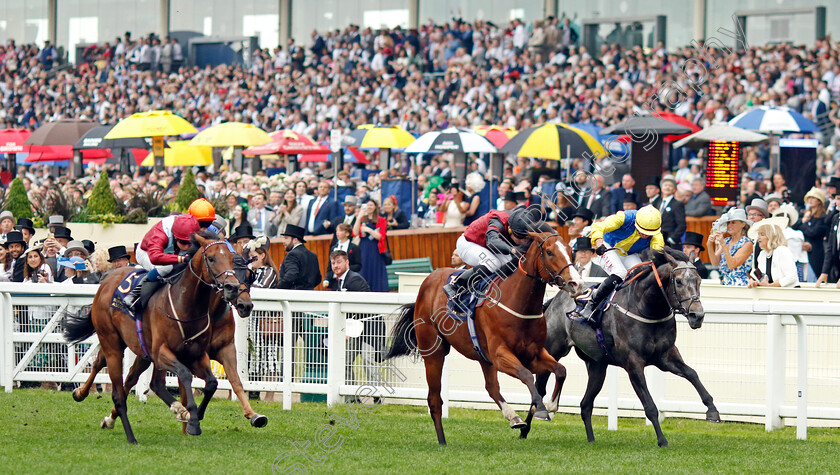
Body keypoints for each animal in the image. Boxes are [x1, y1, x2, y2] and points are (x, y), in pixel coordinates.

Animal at [62, 231, 248, 446]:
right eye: (211, 258)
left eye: (232, 258)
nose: (232, 287)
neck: (187, 305)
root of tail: (106, 280)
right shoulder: (161, 353)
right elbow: (185, 375)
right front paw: (192, 419)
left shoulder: (196, 355)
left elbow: (211, 383)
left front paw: (194, 416)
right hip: (113, 344)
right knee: (118, 393)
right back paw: (130, 436)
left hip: (135, 348)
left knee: (113, 368)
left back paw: (82, 395)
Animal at [388, 229, 584, 444]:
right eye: (549, 252)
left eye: (570, 251)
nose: (577, 283)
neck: (518, 303)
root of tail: (429, 279)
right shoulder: (500, 355)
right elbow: (526, 375)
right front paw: (540, 408)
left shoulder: (533, 355)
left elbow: (561, 370)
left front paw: (551, 406)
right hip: (434, 352)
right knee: (434, 399)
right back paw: (442, 441)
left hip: (483, 356)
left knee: (491, 387)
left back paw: (513, 417)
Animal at [540, 247, 720, 448]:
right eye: (679, 281)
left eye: (699, 280)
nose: (697, 315)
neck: (647, 309)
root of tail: (555, 300)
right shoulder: (633, 363)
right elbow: (650, 406)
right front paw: (662, 440)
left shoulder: (666, 357)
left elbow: (692, 374)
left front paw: (712, 410)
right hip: (554, 349)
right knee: (541, 383)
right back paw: (540, 414)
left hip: (597, 365)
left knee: (585, 404)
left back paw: (591, 439)